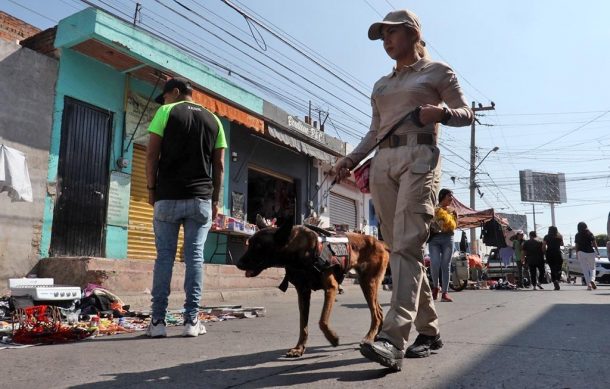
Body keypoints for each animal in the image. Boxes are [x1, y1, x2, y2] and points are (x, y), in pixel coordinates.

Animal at [235, 220, 388, 356]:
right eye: (249, 244)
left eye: (258, 246)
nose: (238, 263)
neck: (299, 250)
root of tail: (380, 242)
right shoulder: (303, 292)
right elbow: (303, 324)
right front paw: (299, 348)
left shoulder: (331, 288)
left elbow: (322, 321)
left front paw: (333, 338)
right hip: (367, 284)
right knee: (379, 311)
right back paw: (376, 336)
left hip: (368, 282)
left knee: (375, 314)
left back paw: (369, 337)